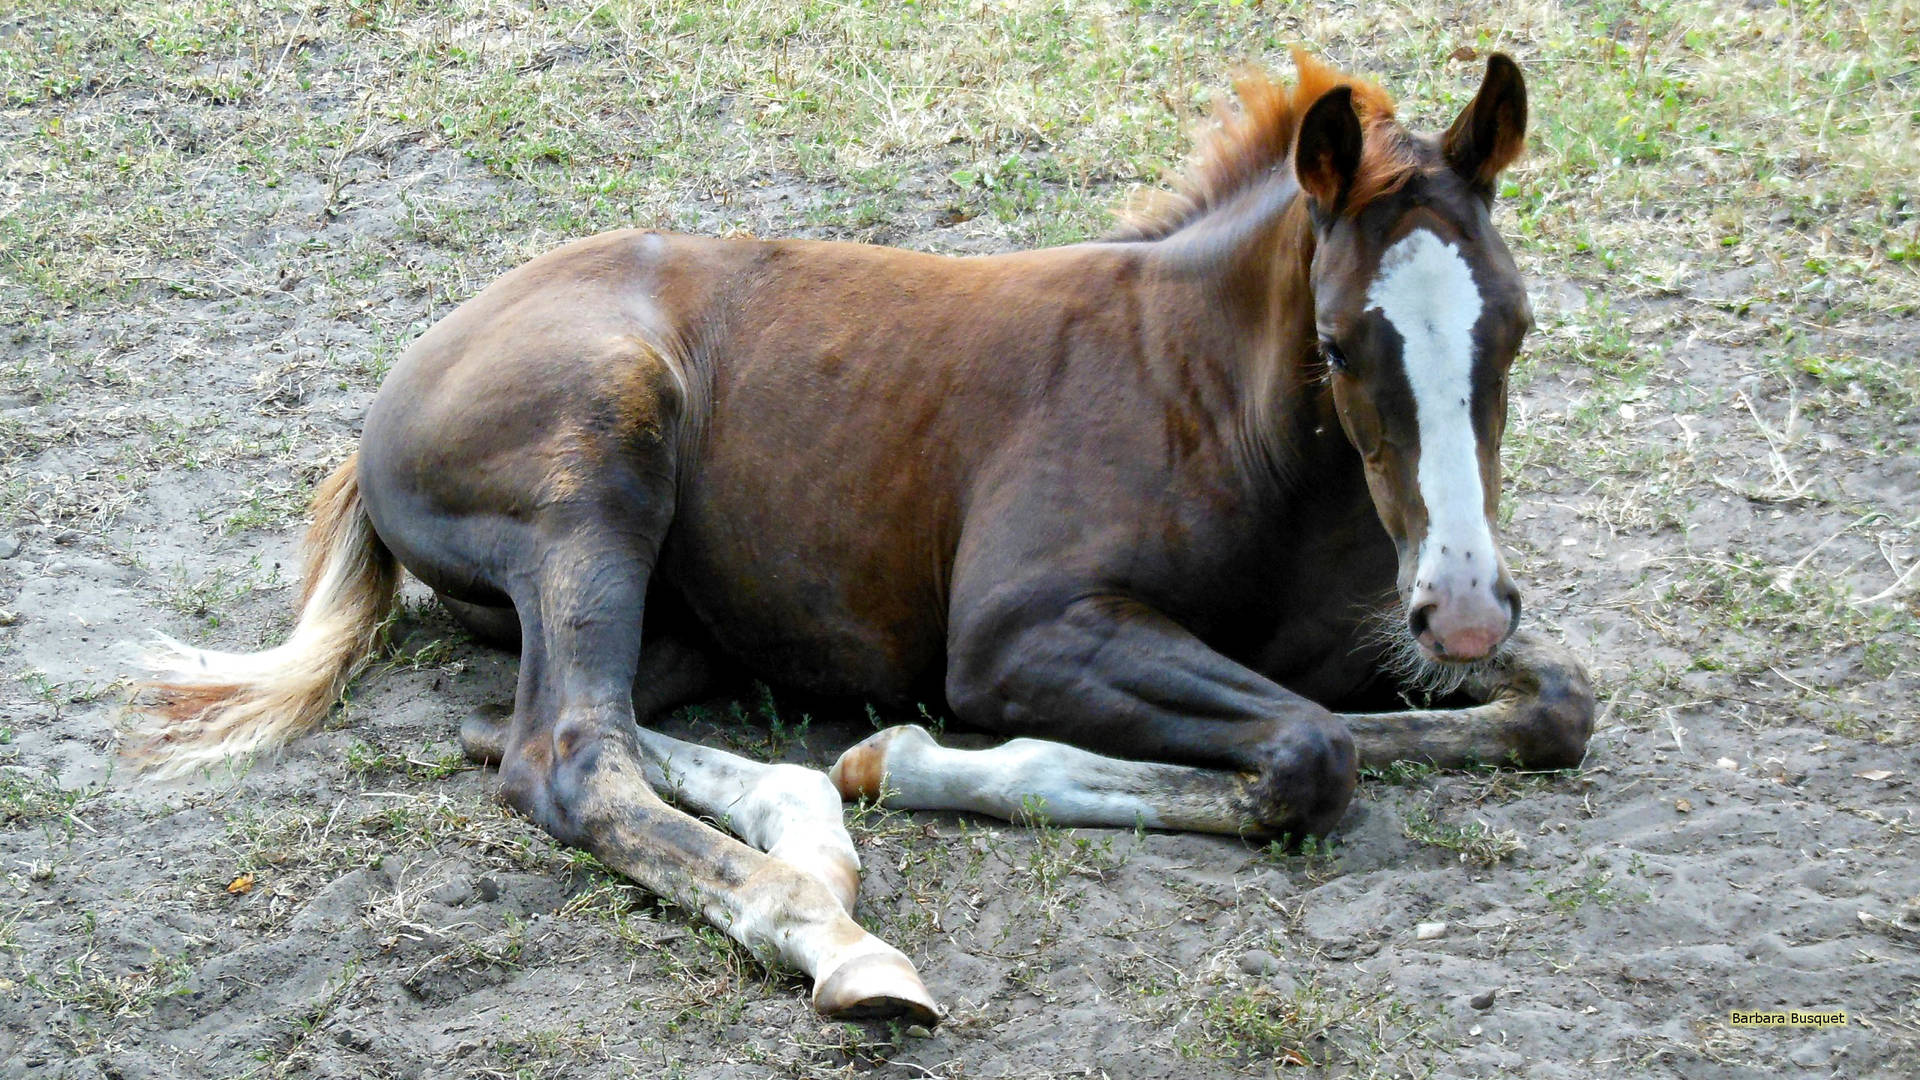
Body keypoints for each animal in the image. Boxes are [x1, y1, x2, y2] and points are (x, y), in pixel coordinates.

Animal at [135, 52, 1597, 1022]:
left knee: (530, 727)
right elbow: (1309, 746)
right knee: (567, 752)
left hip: (668, 617)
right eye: (1344, 343)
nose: (1467, 603)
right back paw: (831, 935)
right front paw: (943, 763)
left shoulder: (1371, 635)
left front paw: (895, 764)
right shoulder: (1018, 636)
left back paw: (820, 829)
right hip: (596, 473)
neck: (1209, 398)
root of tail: (387, 401)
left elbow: (1543, 706)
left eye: (1518, 327)